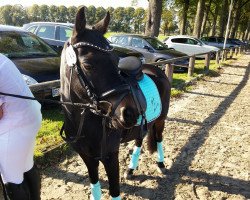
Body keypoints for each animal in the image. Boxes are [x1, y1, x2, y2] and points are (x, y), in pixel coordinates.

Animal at [59, 6, 171, 200]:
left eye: (116, 60)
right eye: (87, 65)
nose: (130, 113)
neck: (85, 121)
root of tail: (157, 70)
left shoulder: (110, 156)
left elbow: (114, 191)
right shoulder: (87, 158)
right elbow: (95, 185)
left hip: (160, 121)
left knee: (158, 138)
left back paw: (161, 165)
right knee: (139, 140)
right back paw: (131, 169)